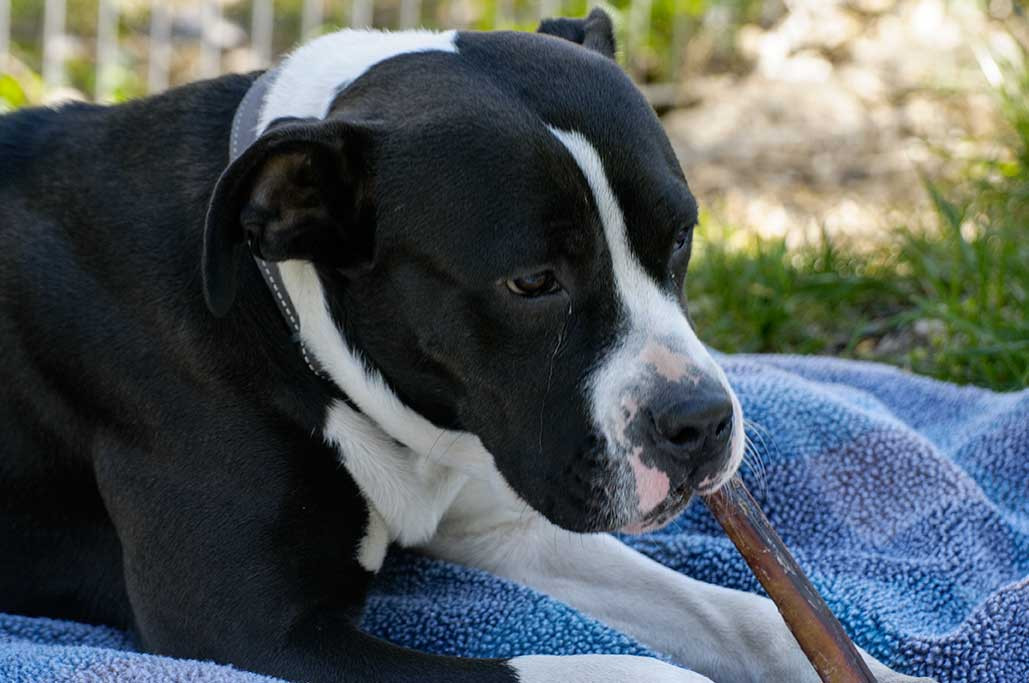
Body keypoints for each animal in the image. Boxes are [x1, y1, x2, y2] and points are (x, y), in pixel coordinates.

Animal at [0, 9, 932, 682]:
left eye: (679, 237)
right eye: (531, 282)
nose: (698, 423)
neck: (283, 303)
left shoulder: (504, 521)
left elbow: (743, 611)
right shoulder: (243, 629)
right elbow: (596, 668)